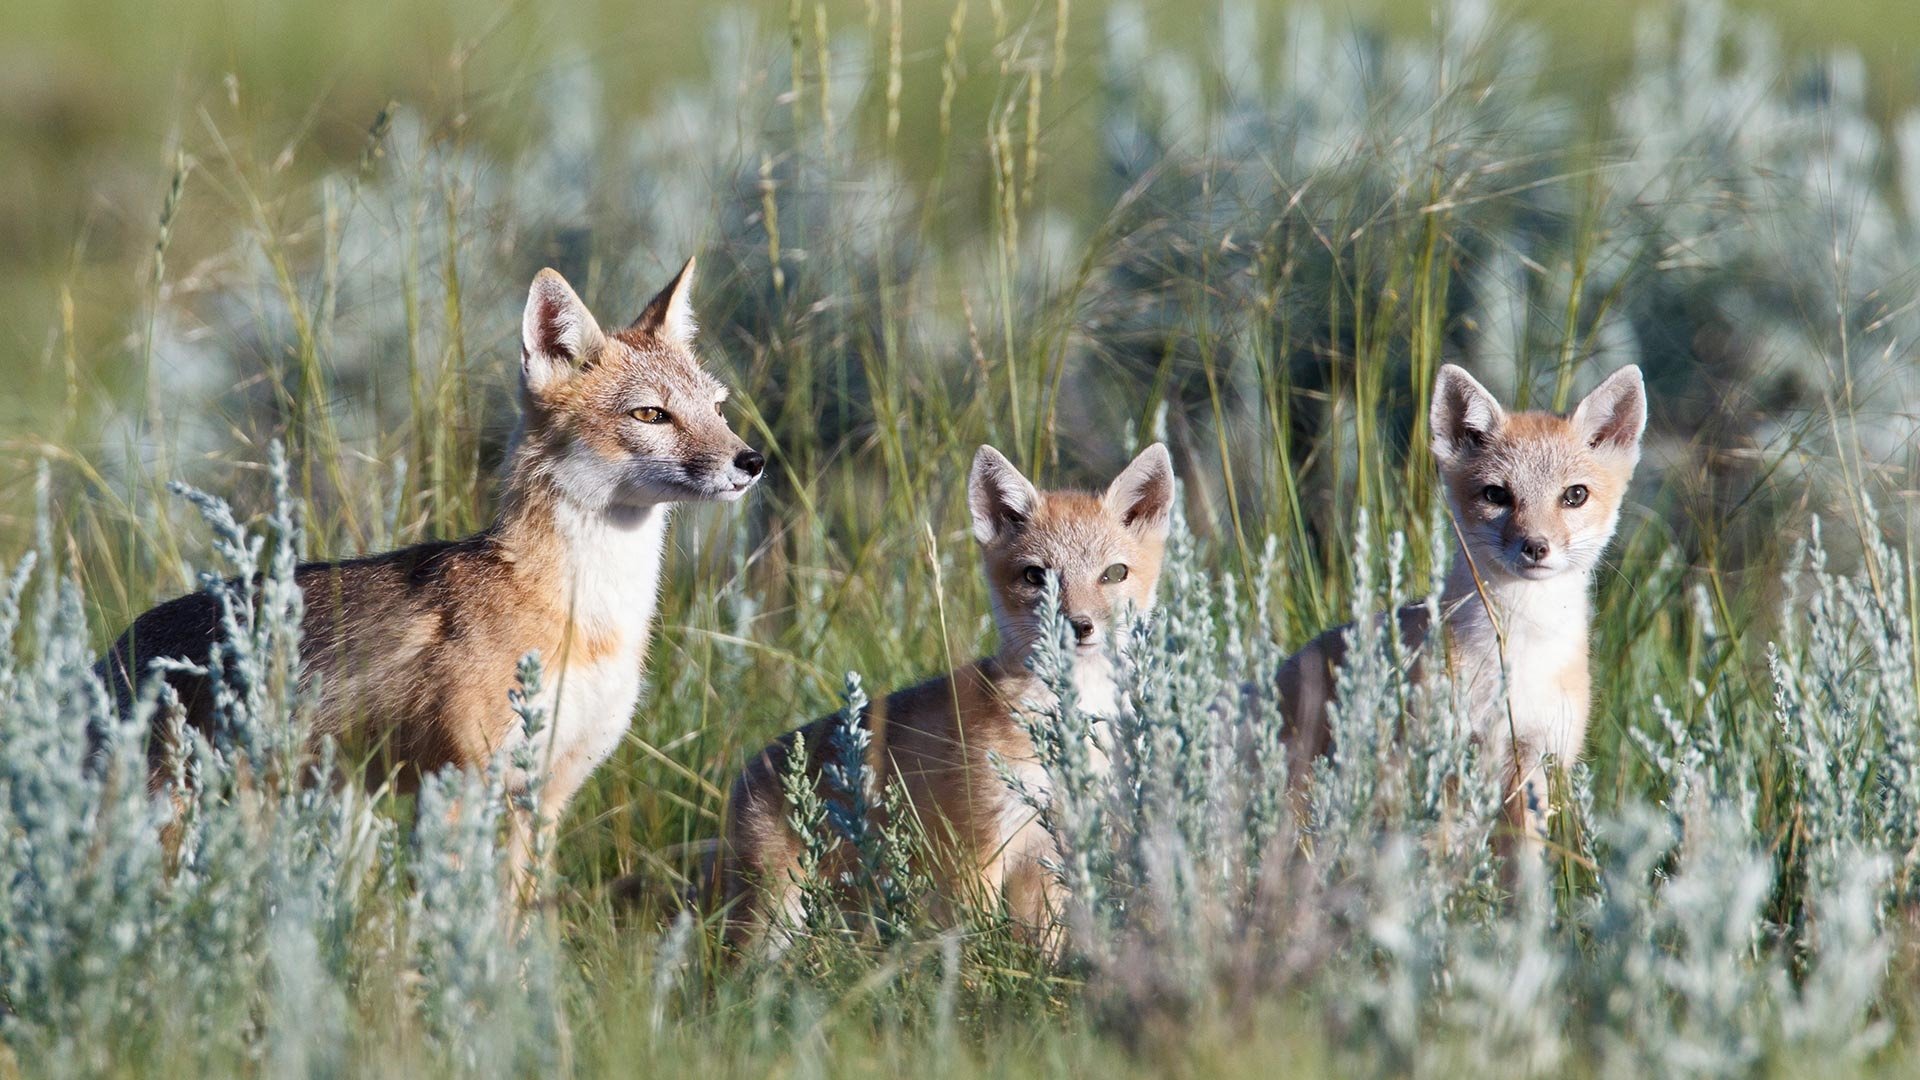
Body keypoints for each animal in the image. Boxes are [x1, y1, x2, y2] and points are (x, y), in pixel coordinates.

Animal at [97, 261, 756, 883]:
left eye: (717, 408)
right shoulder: (460, 783)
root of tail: (115, 647)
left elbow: (521, 917)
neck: (587, 618)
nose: (751, 460)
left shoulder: (546, 795)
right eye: (651, 414)